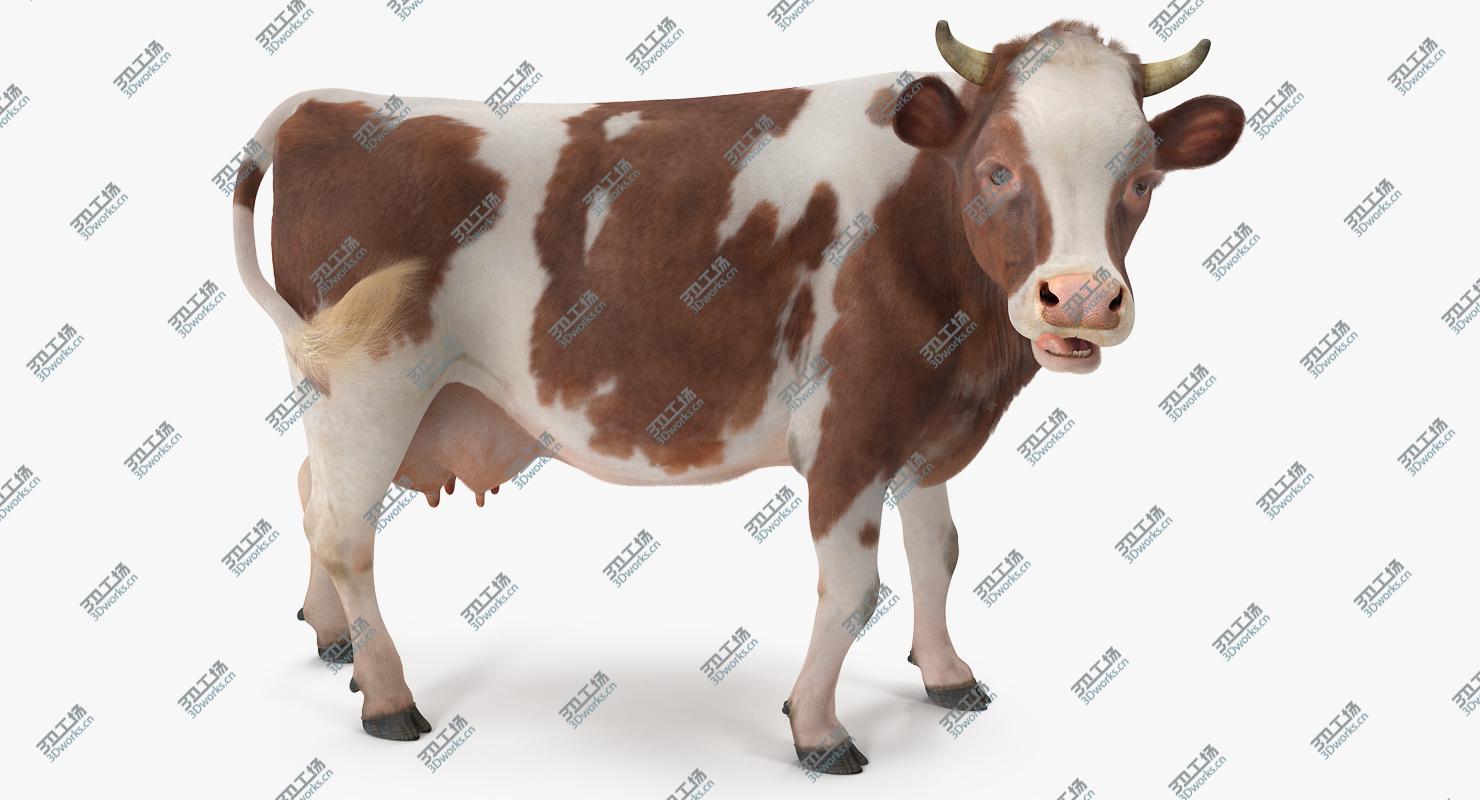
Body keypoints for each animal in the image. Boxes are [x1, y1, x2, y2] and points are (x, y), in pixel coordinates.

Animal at [232, 19, 1243, 774]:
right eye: (996, 169)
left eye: (1142, 179)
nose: (1081, 298)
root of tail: (325, 104)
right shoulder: (849, 432)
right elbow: (855, 592)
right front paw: (818, 730)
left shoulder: (926, 424)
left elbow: (940, 555)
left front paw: (947, 675)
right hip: (371, 383)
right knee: (348, 529)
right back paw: (389, 698)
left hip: (340, 393)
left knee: (309, 493)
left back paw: (335, 642)